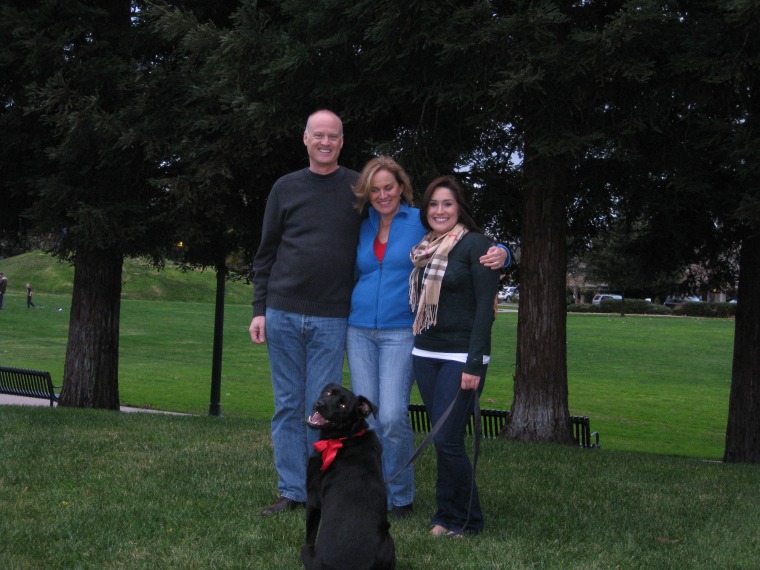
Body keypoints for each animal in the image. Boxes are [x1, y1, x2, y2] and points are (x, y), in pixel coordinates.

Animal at [302, 382, 398, 568]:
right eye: (328, 392)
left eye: (343, 405)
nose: (320, 404)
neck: (345, 437)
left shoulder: (313, 498)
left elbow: (310, 533)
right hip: (388, 540)